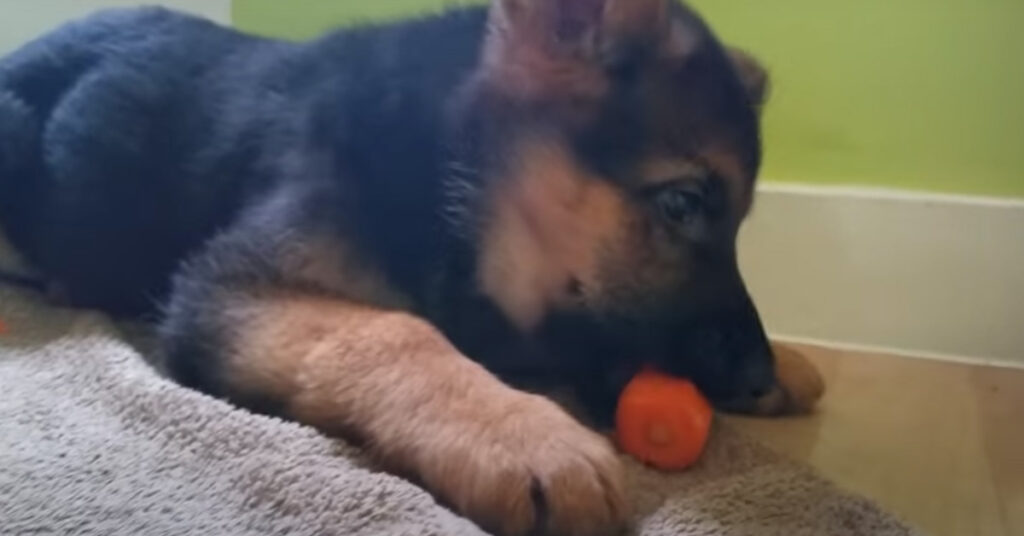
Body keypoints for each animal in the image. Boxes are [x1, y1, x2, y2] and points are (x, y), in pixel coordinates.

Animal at [0, 2, 823, 532]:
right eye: (683, 202)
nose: (755, 372)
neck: (439, 157)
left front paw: (790, 364)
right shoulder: (226, 284)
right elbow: (395, 331)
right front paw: (524, 436)